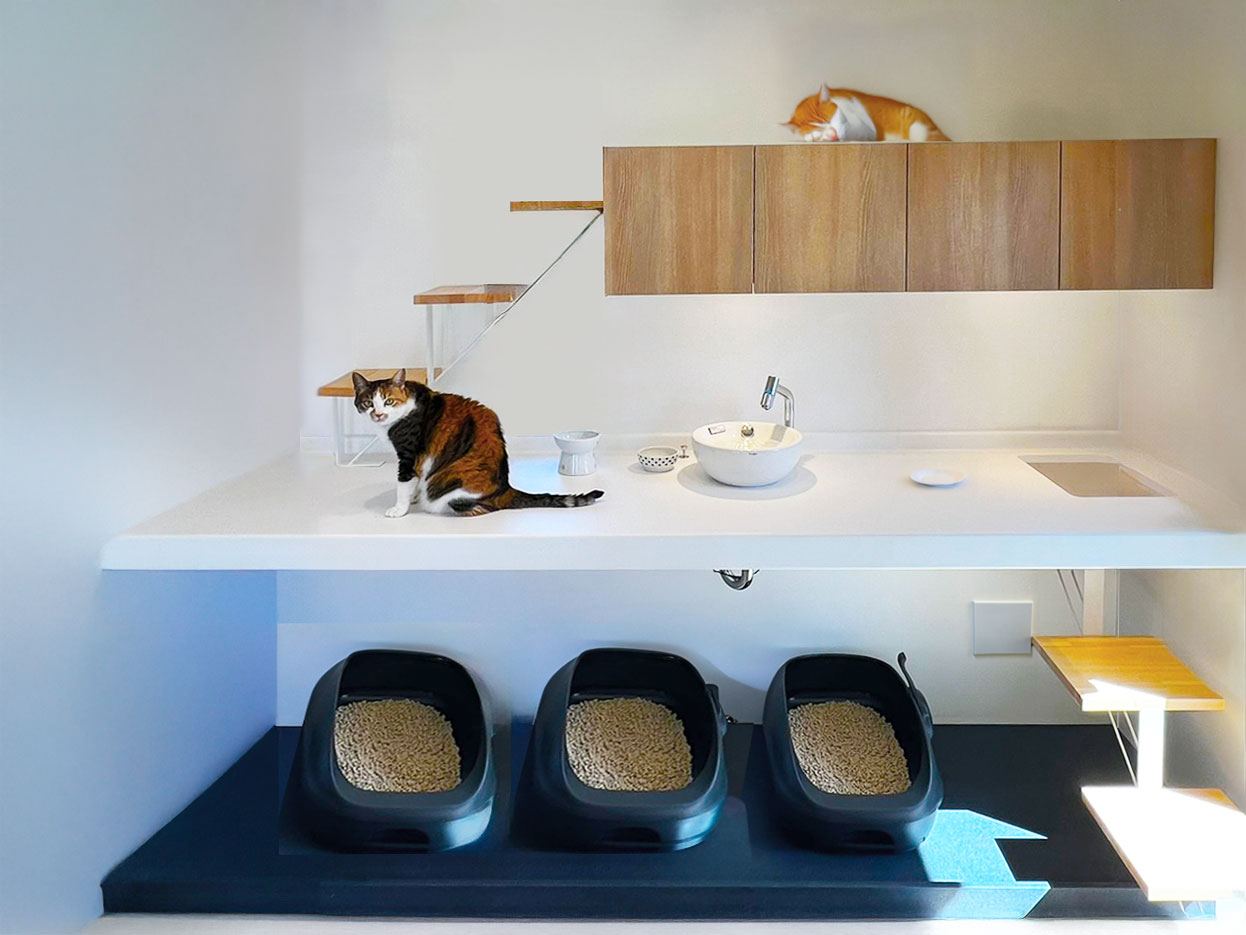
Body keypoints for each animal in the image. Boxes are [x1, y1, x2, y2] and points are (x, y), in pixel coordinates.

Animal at [352, 370, 604, 517]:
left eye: (388, 401)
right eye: (367, 403)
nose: (378, 414)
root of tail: (506, 488)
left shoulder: (408, 455)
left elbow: (403, 484)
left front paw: (399, 508)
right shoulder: (416, 463)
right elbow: (413, 482)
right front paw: (413, 495)